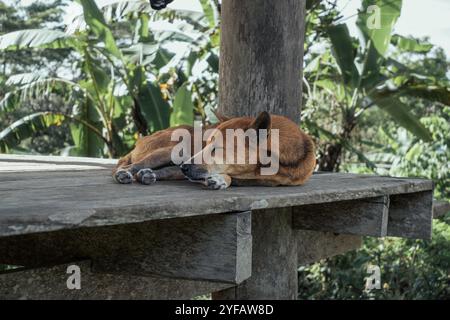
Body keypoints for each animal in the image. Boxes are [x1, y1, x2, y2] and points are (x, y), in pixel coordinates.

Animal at [112, 112, 316, 189]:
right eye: (206, 144)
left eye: (217, 148)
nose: (185, 167)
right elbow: (227, 176)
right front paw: (221, 180)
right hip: (172, 151)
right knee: (130, 166)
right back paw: (124, 174)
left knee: (163, 171)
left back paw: (148, 175)